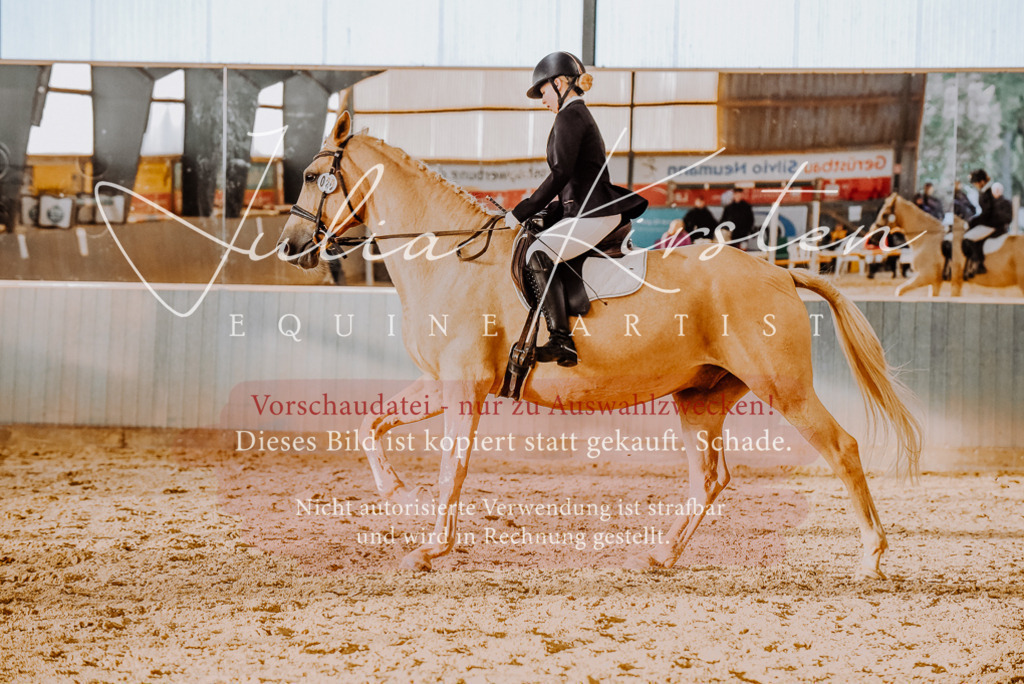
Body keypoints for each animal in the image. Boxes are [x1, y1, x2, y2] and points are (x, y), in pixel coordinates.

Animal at [277, 112, 921, 578]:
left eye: (311, 177)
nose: (288, 248)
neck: (451, 256)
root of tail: (780, 273)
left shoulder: (465, 387)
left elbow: (450, 469)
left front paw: (430, 548)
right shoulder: (442, 382)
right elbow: (371, 425)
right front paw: (396, 494)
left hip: (783, 387)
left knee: (842, 449)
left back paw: (871, 557)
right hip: (701, 397)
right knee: (710, 479)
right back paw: (662, 555)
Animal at [871, 193, 1024, 296]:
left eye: (884, 214)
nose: (872, 237)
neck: (928, 238)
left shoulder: (926, 276)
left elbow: (899, 291)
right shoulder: (936, 281)